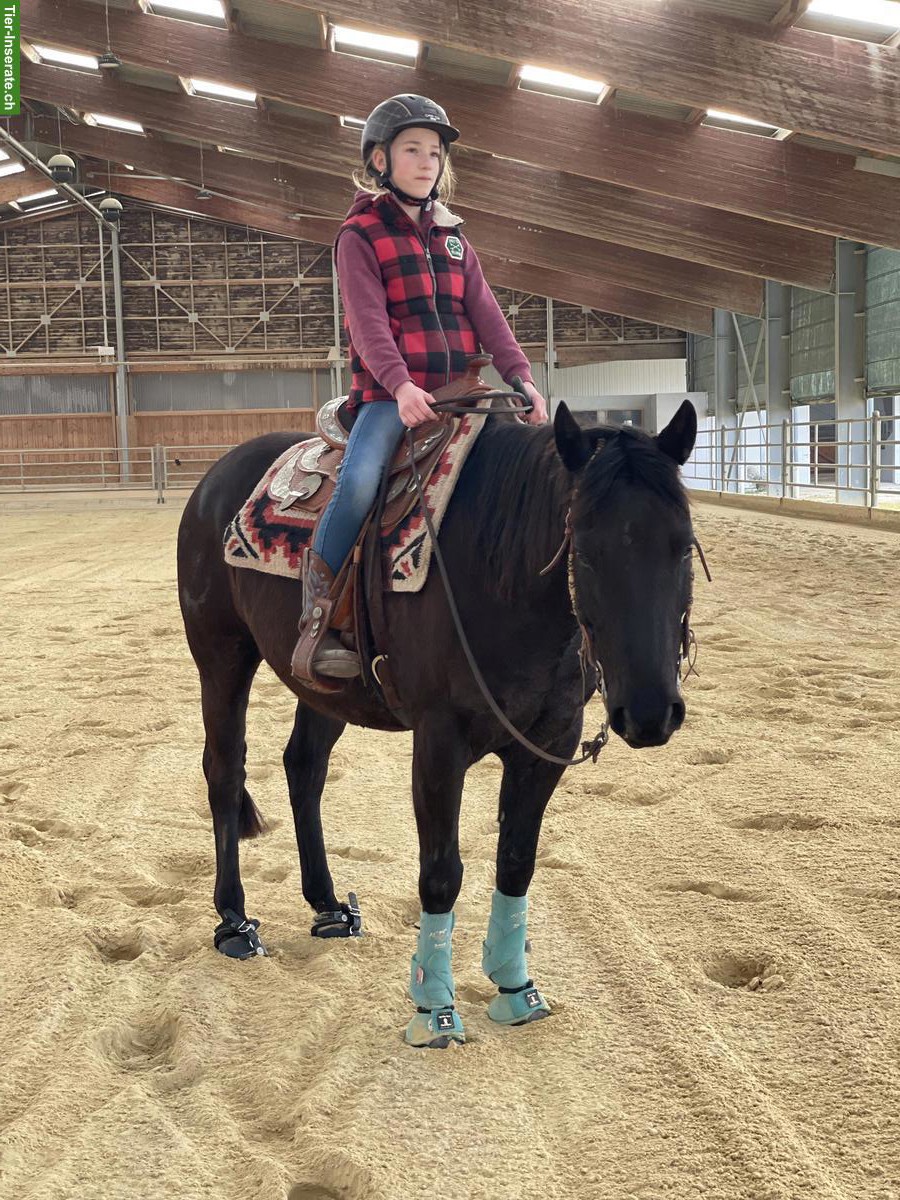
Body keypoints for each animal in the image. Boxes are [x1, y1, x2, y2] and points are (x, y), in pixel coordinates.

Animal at [176, 397, 698, 1047]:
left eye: (683, 547)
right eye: (585, 552)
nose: (651, 712)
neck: (501, 577)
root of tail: (214, 480)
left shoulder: (547, 744)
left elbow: (516, 862)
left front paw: (515, 987)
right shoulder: (439, 743)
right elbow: (442, 871)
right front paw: (434, 1007)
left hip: (322, 689)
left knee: (304, 767)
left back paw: (328, 905)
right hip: (221, 654)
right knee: (225, 771)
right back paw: (234, 921)